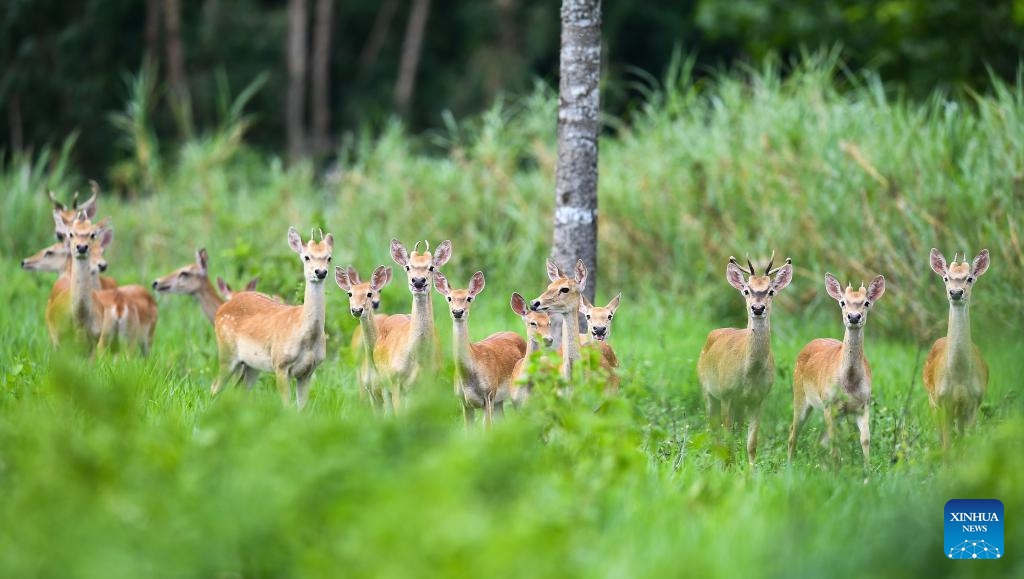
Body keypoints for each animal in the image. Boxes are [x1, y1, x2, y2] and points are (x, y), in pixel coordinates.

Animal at [212, 227, 332, 409]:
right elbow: (287, 406)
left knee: (239, 390)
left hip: (252, 365)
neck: (306, 335)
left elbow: (302, 408)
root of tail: (220, 310)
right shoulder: (280, 365)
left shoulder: (308, 372)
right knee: (214, 387)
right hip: (227, 352)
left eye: (329, 257)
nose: (320, 272)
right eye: (306, 256)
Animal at [434, 271, 526, 425]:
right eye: (449, 298)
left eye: (469, 298)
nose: (457, 312)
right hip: (499, 401)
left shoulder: (488, 395)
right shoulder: (464, 402)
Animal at [697, 254, 793, 467]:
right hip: (708, 392)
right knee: (713, 430)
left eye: (771, 291)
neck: (749, 372)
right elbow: (728, 439)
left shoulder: (758, 399)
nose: (757, 308)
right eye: (746, 290)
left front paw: (751, 470)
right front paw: (730, 468)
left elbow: (751, 443)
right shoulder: (727, 395)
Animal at [789, 273, 885, 473]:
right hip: (800, 396)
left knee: (819, 440)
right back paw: (789, 464)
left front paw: (868, 471)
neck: (849, 382)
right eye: (842, 302)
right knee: (793, 431)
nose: (854, 317)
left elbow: (865, 439)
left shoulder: (863, 404)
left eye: (866, 302)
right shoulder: (829, 404)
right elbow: (835, 443)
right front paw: (836, 472)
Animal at [922, 249, 990, 452]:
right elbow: (947, 445)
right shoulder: (943, 402)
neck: (959, 376)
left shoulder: (974, 402)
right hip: (932, 402)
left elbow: (967, 442)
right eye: (946, 278)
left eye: (970, 278)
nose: (956, 292)